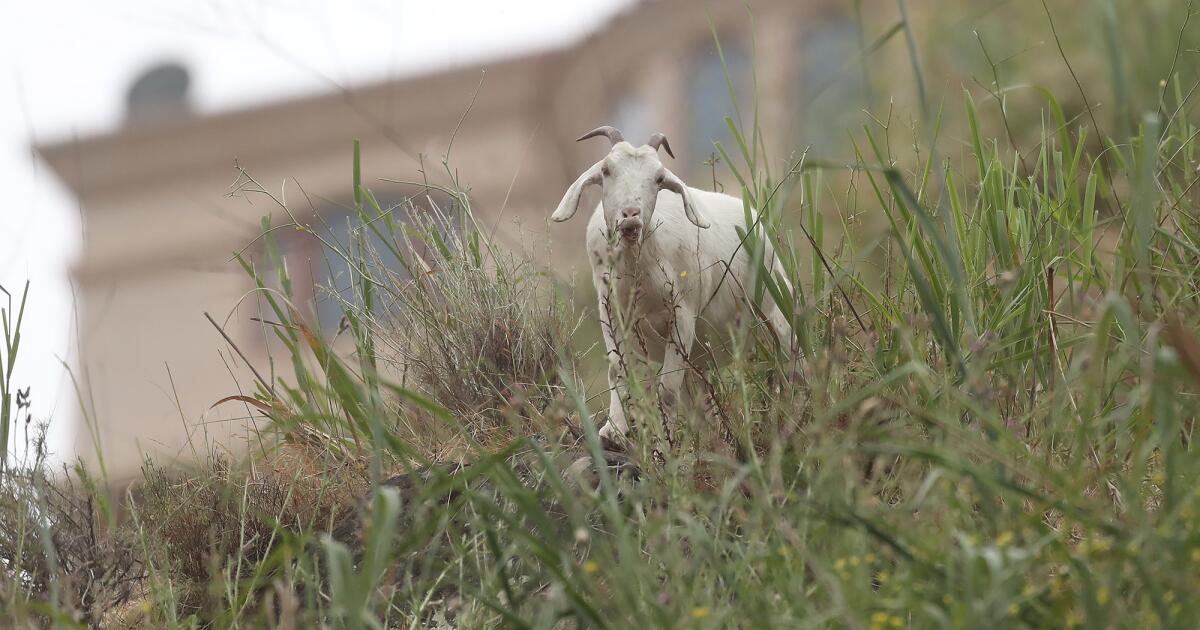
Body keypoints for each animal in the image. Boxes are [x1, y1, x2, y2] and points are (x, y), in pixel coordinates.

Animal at [552, 125, 793, 442]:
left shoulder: (682, 317)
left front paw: (663, 439)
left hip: (778, 315)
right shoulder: (611, 313)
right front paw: (613, 430)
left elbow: (667, 389)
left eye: (658, 179)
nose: (630, 215)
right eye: (606, 170)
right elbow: (618, 369)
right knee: (704, 398)